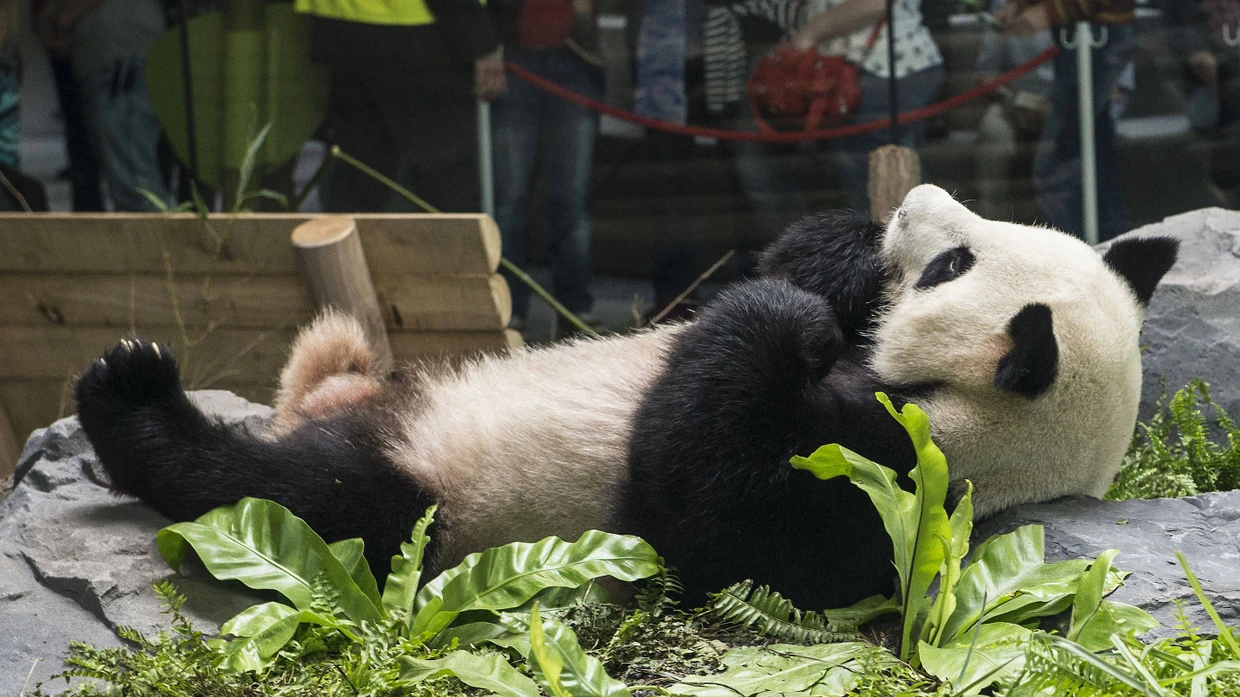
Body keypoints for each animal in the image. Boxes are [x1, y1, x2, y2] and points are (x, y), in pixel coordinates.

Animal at [74, 185, 1178, 610]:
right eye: (967, 238)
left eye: (953, 264)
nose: (908, 205)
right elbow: (801, 271)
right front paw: (835, 263)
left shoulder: (890, 492)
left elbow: (710, 506)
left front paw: (782, 318)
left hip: (431, 500)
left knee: (302, 494)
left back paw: (132, 394)